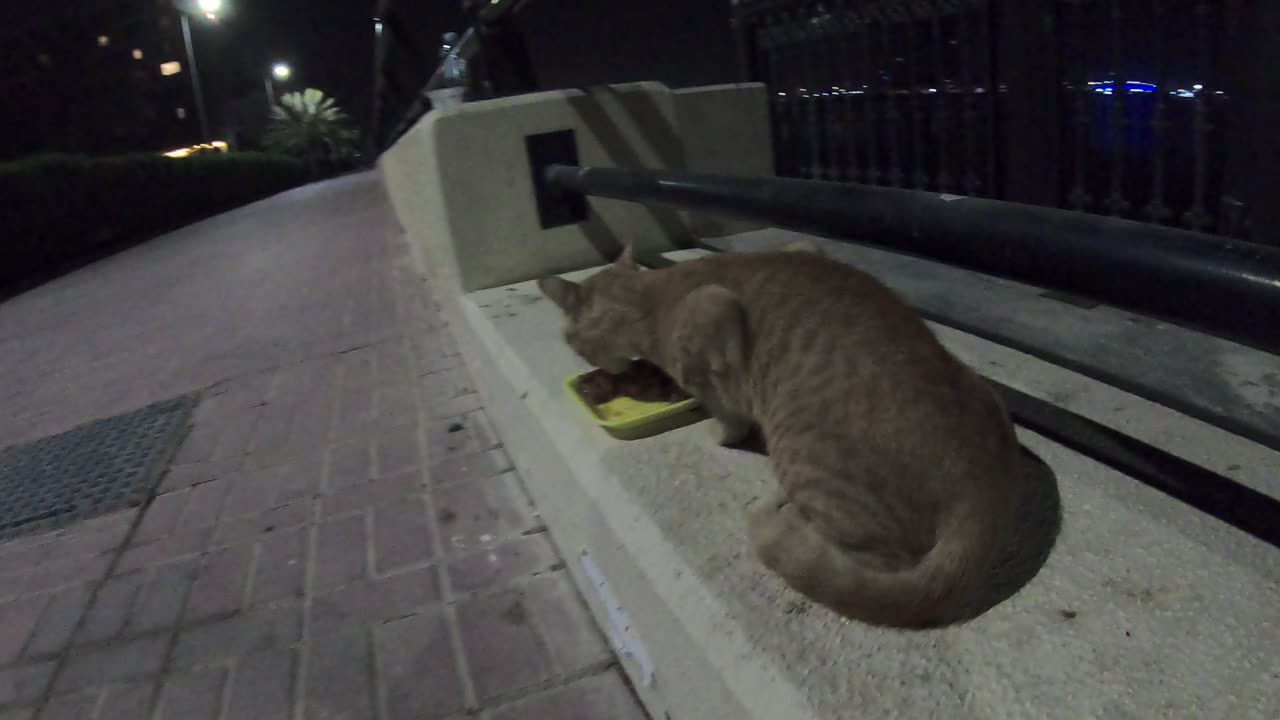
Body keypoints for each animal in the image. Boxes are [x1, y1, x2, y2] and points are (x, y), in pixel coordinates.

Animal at [535, 243, 1024, 625]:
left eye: (569, 338)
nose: (572, 352)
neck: (651, 299)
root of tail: (983, 492)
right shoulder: (803, 247)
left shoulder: (712, 315)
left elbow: (726, 412)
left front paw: (717, 432)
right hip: (984, 393)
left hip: (808, 461)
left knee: (871, 561)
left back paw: (788, 524)